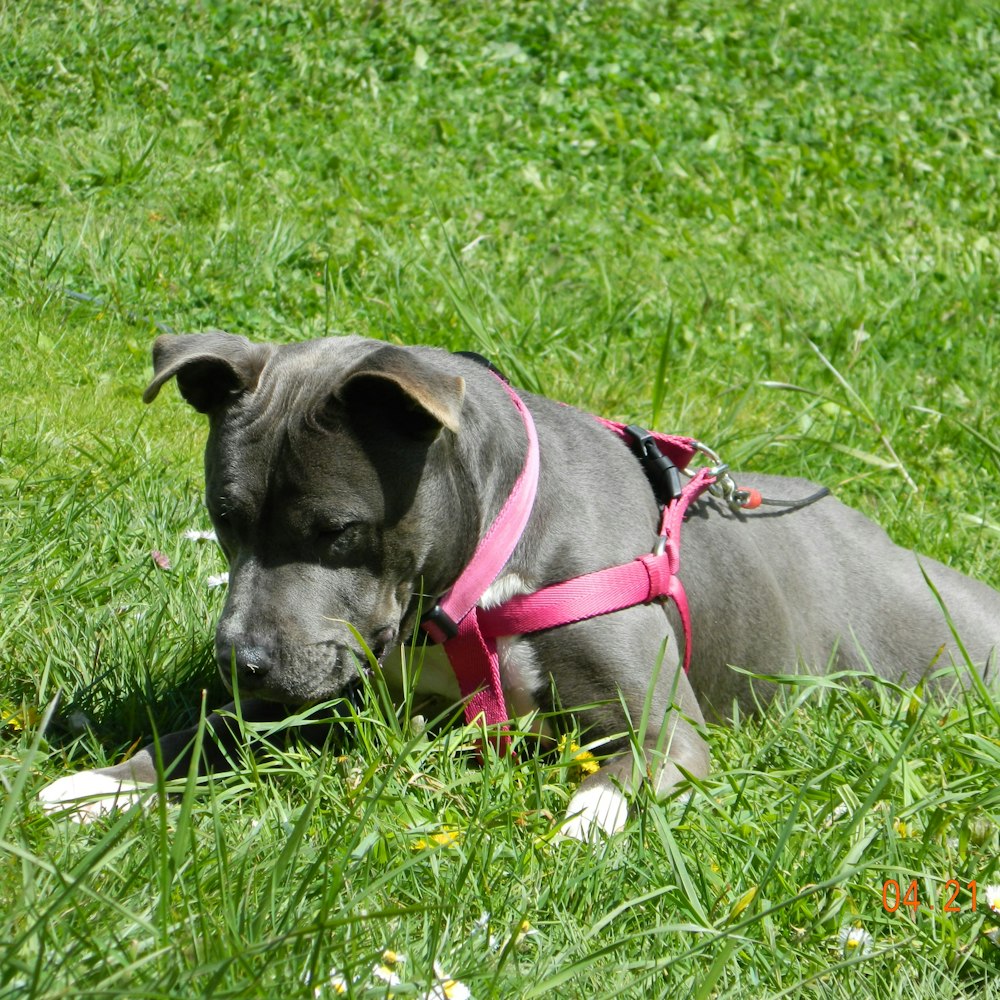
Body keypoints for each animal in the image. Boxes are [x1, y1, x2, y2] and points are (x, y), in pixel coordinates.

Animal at [39, 332, 1000, 840]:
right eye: (226, 518)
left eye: (339, 531)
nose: (242, 661)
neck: (469, 583)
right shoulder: (333, 689)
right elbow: (207, 733)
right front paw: (105, 782)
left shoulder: (666, 732)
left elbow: (610, 788)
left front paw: (570, 839)